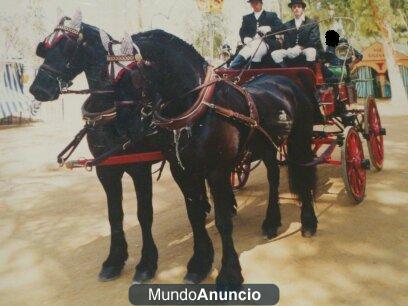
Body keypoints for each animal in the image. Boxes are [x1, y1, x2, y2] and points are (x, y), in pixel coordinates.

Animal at [113, 29, 320, 288]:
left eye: (132, 78)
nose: (122, 130)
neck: (196, 111)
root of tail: (285, 80)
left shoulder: (217, 171)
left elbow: (222, 221)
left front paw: (230, 272)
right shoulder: (182, 171)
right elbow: (194, 215)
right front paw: (199, 264)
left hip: (300, 138)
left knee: (303, 174)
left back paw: (309, 221)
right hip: (266, 146)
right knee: (273, 177)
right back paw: (272, 221)